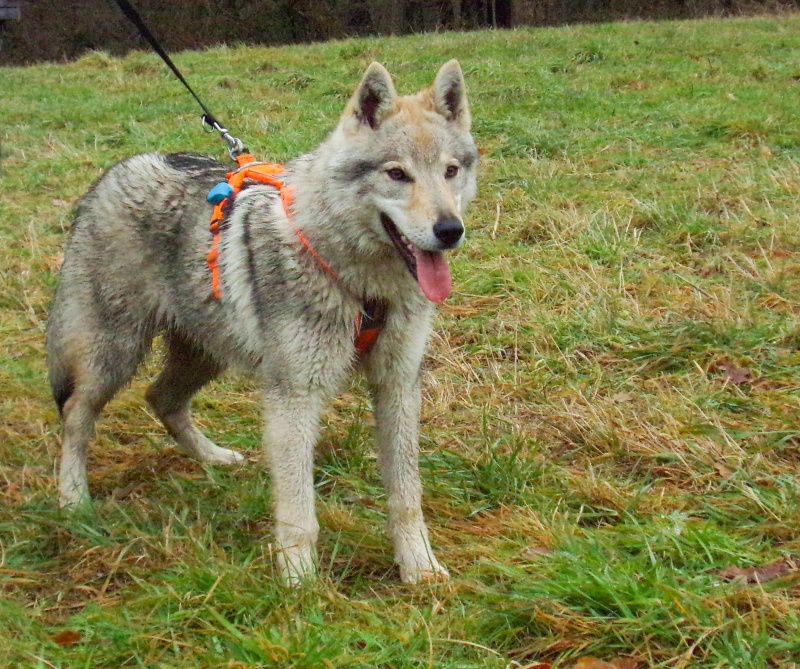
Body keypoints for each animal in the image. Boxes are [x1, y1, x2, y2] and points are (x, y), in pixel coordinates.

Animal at [47, 62, 478, 584]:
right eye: (397, 174)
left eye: (450, 171)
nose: (449, 230)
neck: (361, 287)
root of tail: (119, 169)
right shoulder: (294, 398)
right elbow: (299, 512)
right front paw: (299, 584)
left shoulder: (397, 385)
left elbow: (406, 496)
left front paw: (419, 568)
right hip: (115, 356)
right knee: (76, 416)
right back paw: (73, 501)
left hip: (205, 354)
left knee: (161, 399)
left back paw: (214, 459)